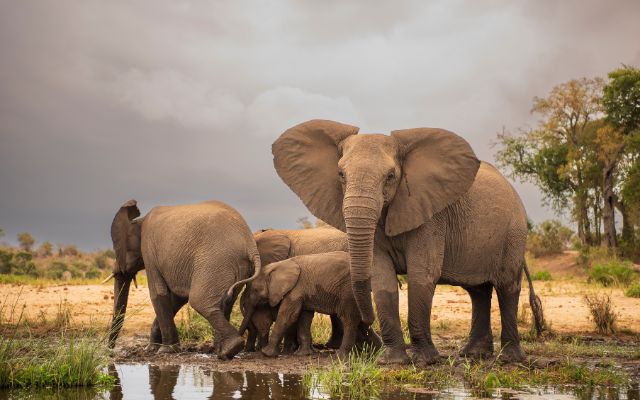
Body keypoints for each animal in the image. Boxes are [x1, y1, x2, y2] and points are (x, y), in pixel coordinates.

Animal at [107, 199, 260, 360]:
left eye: (117, 249)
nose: (110, 351)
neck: (139, 221)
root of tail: (250, 245)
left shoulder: (149, 250)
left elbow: (157, 294)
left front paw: (165, 350)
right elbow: (177, 298)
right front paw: (152, 349)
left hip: (215, 262)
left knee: (200, 301)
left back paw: (230, 348)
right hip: (236, 266)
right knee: (226, 302)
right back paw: (221, 352)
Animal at [231, 252, 380, 358]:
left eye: (255, 290)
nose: (238, 351)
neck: (278, 266)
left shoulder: (296, 289)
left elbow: (288, 316)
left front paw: (266, 354)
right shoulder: (303, 292)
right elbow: (304, 317)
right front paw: (303, 354)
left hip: (348, 292)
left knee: (349, 319)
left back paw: (340, 356)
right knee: (361, 321)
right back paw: (377, 350)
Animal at [272, 119, 544, 366]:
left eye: (391, 176)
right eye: (340, 175)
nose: (367, 323)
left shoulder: (431, 216)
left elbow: (422, 275)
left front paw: (424, 361)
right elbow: (382, 278)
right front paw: (391, 361)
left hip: (514, 232)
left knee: (507, 286)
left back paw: (509, 359)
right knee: (478, 291)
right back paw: (473, 355)